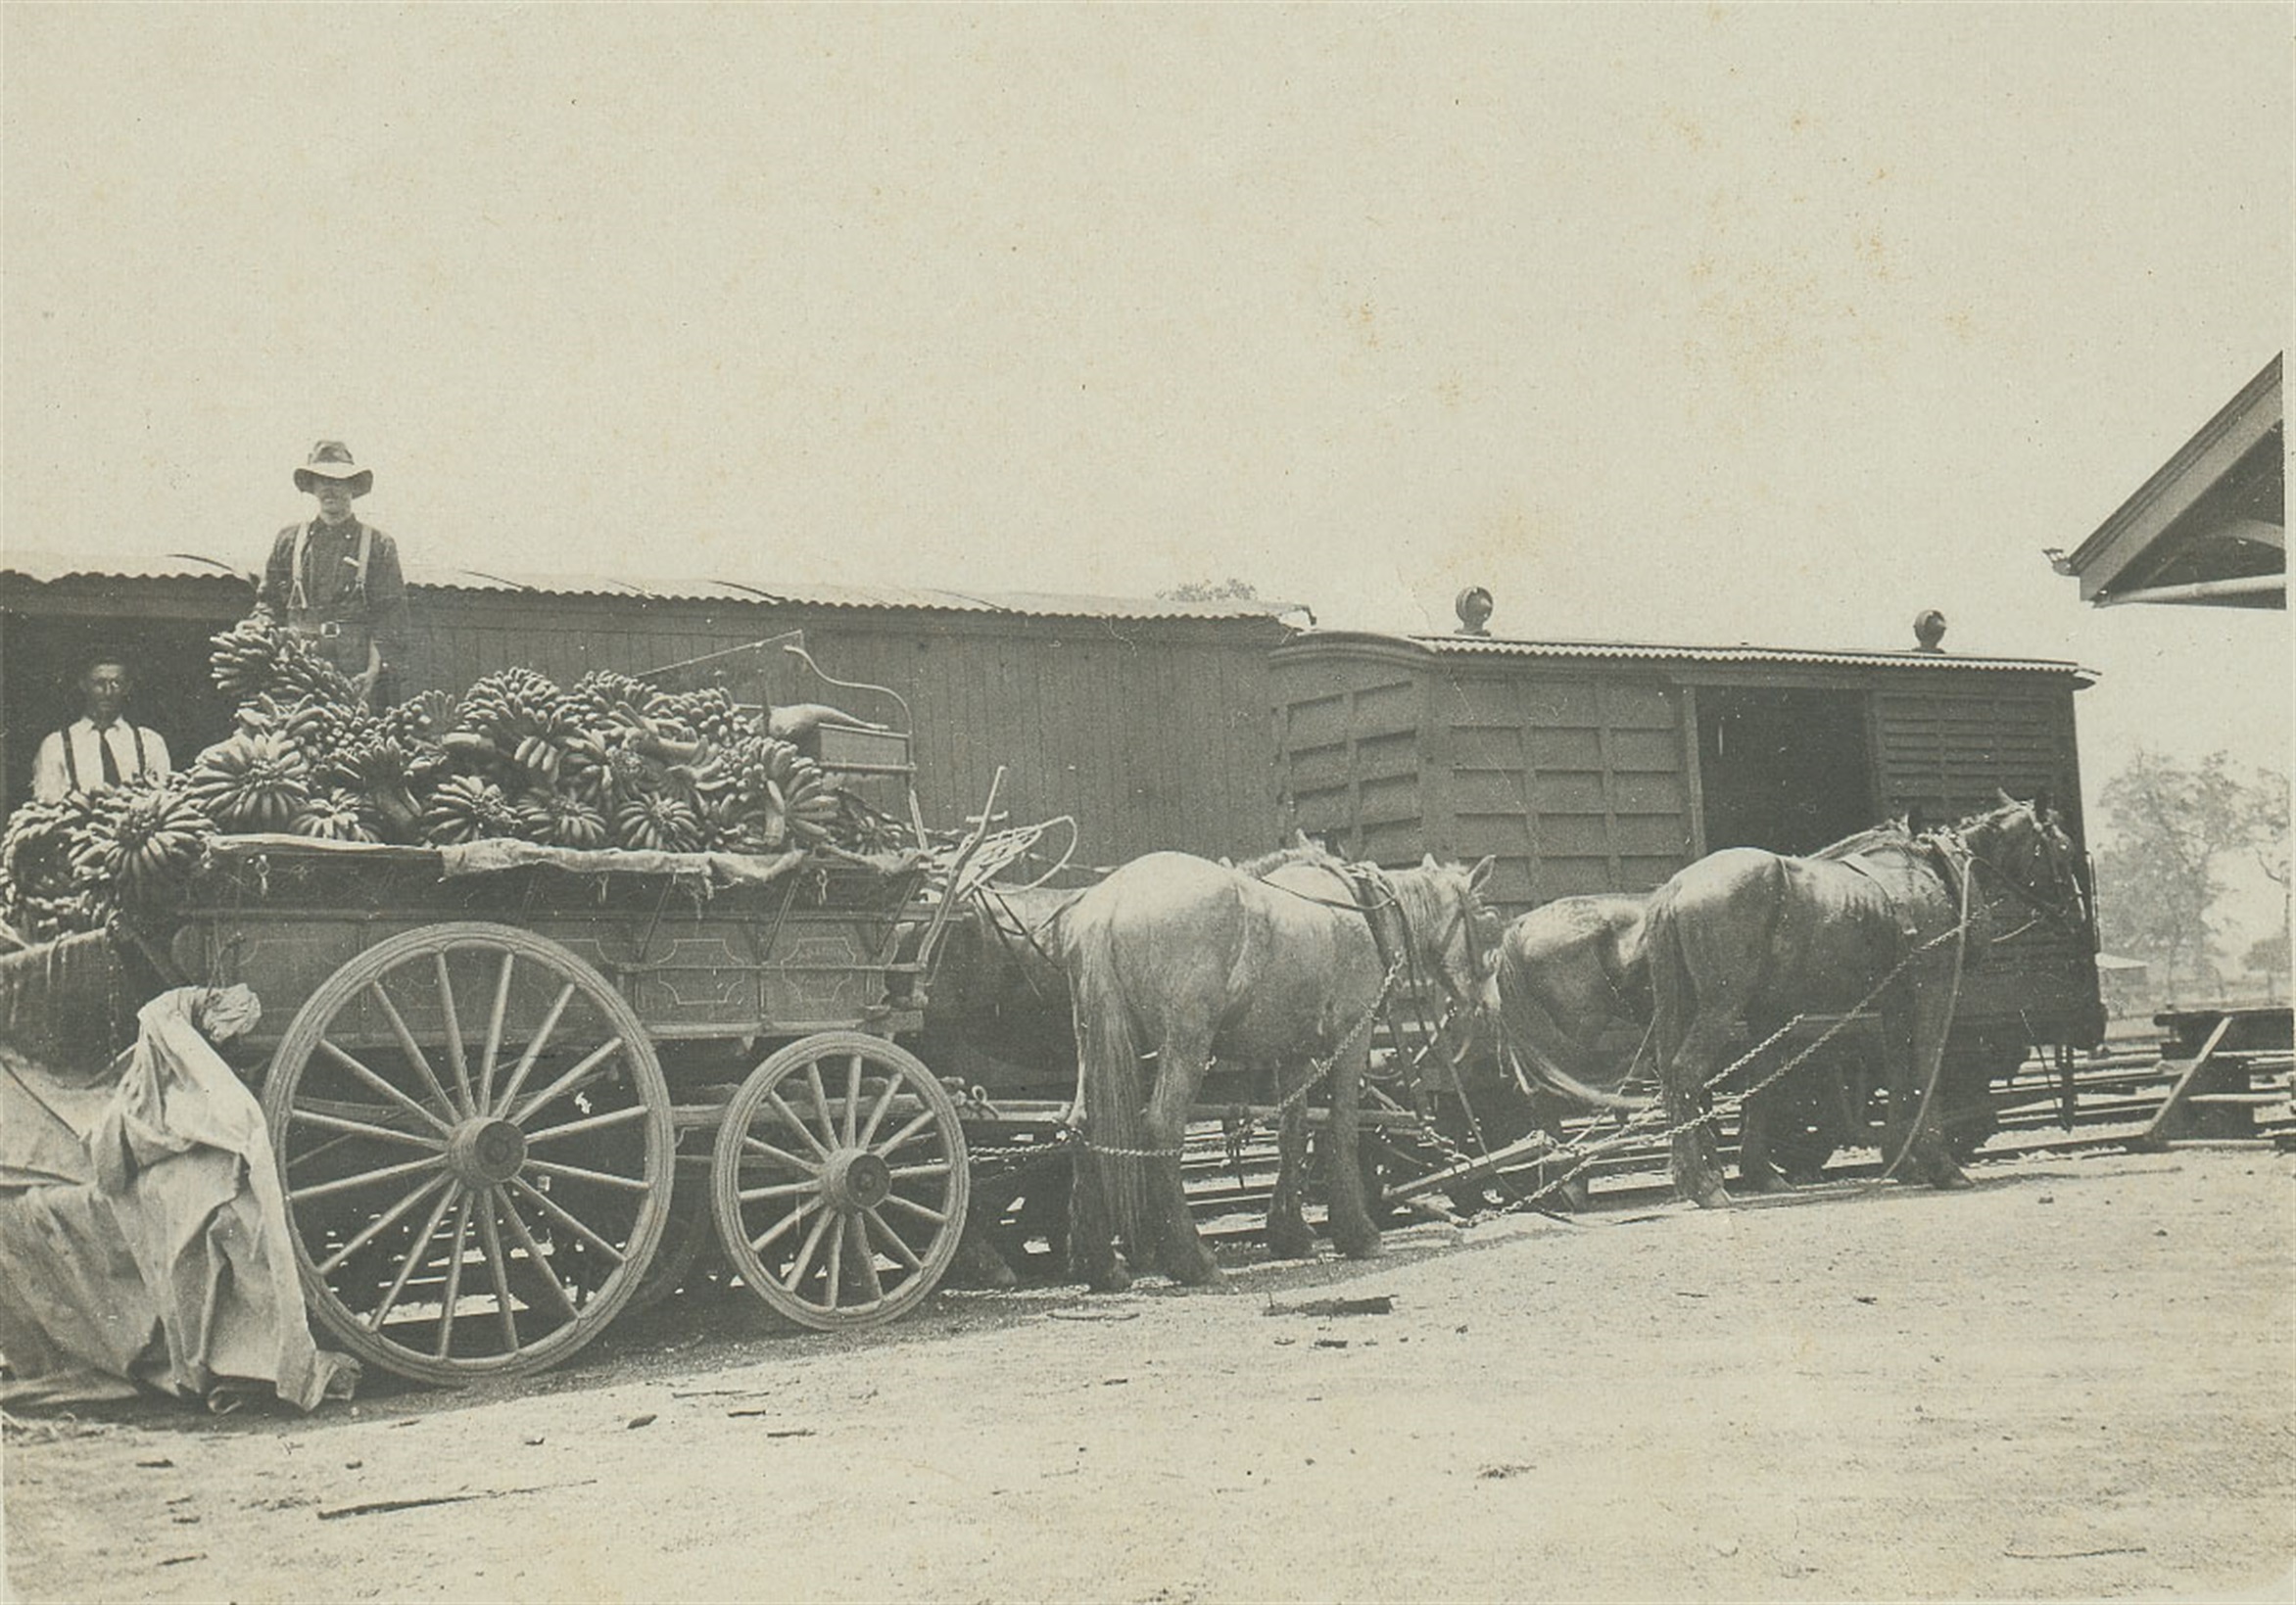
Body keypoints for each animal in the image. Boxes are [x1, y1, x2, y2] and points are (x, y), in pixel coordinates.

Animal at [1060, 849, 1497, 1286]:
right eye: (1485, 918)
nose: (1490, 1006)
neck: (1363, 909)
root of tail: (1110, 904)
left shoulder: (1296, 1054)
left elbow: (1293, 1134)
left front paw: (1290, 1233)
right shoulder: (1350, 1038)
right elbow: (1341, 1129)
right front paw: (1358, 1234)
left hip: (1098, 1045)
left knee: (1082, 1125)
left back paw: (1102, 1265)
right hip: (1184, 1045)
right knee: (1162, 1129)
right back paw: (1193, 1260)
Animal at [1644, 798, 2093, 1212]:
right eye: (2063, 848)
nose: (2076, 915)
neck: (1937, 873)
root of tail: (1678, 886)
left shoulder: (1895, 1004)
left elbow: (1899, 1073)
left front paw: (1903, 1160)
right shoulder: (1933, 989)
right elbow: (1928, 1067)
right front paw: (1941, 1164)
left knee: (1704, 1080)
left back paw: (1742, 1174)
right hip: (1722, 1006)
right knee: (1687, 1074)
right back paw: (1705, 1184)